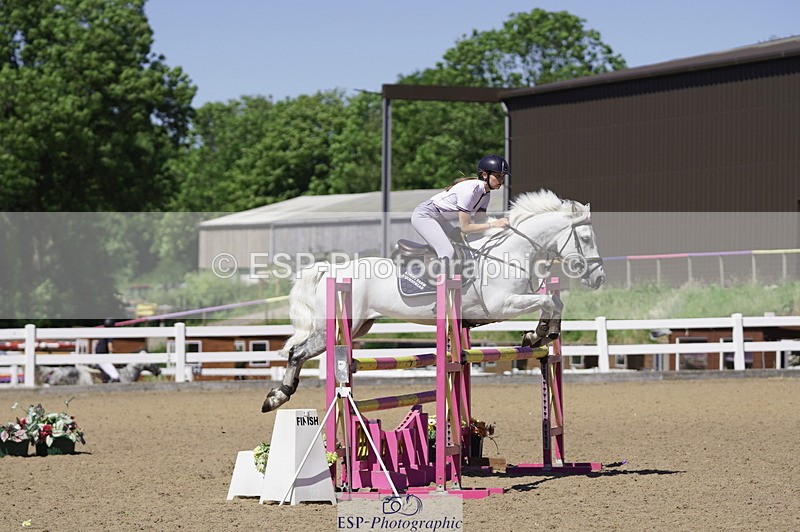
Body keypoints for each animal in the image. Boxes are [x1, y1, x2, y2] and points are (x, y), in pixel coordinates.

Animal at [261, 189, 606, 413]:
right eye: (585, 238)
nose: (599, 278)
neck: (511, 254)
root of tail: (330, 270)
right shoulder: (501, 305)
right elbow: (548, 302)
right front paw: (538, 334)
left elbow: (553, 302)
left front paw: (541, 334)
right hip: (333, 328)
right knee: (296, 352)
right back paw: (277, 397)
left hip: (360, 326)